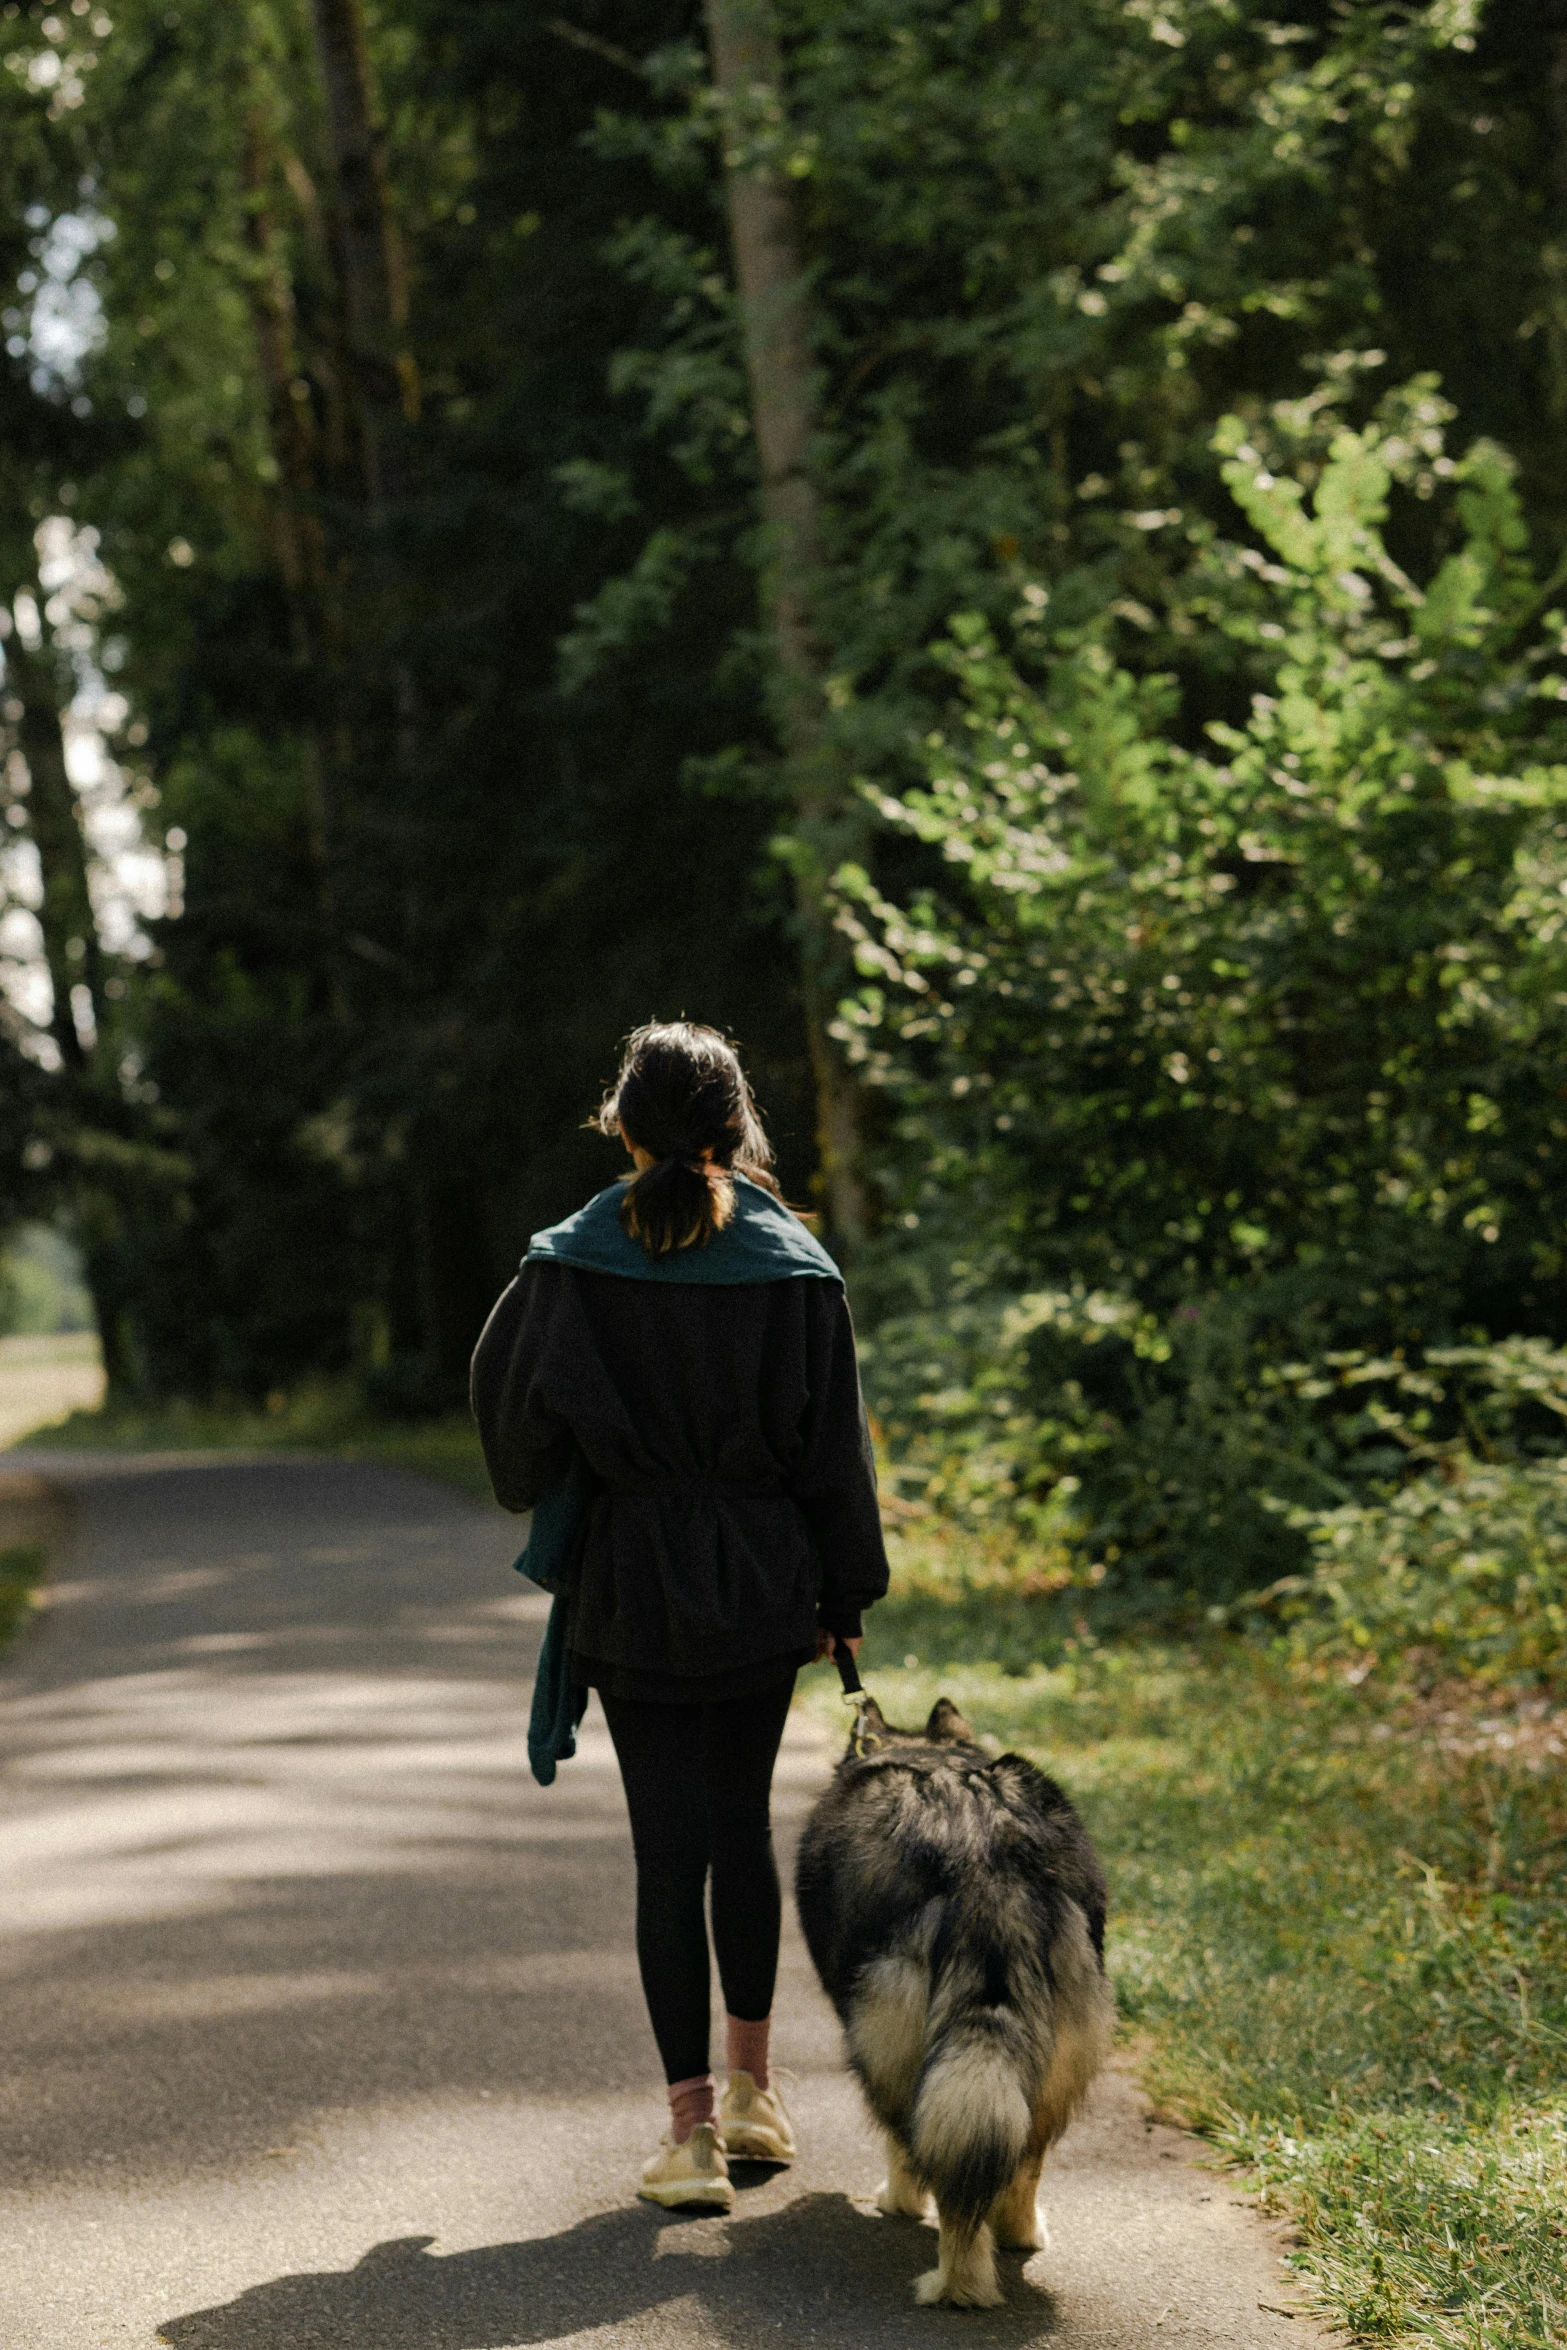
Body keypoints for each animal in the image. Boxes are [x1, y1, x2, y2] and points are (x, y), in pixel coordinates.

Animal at [798, 1691, 1113, 2312]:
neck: (927, 1751)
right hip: (1052, 2055)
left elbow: (901, 2151)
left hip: (890, 2051)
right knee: (1023, 2158)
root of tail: (983, 1854)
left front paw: (898, 2202)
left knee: (929, 2155)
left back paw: (958, 2281)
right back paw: (1018, 2235)